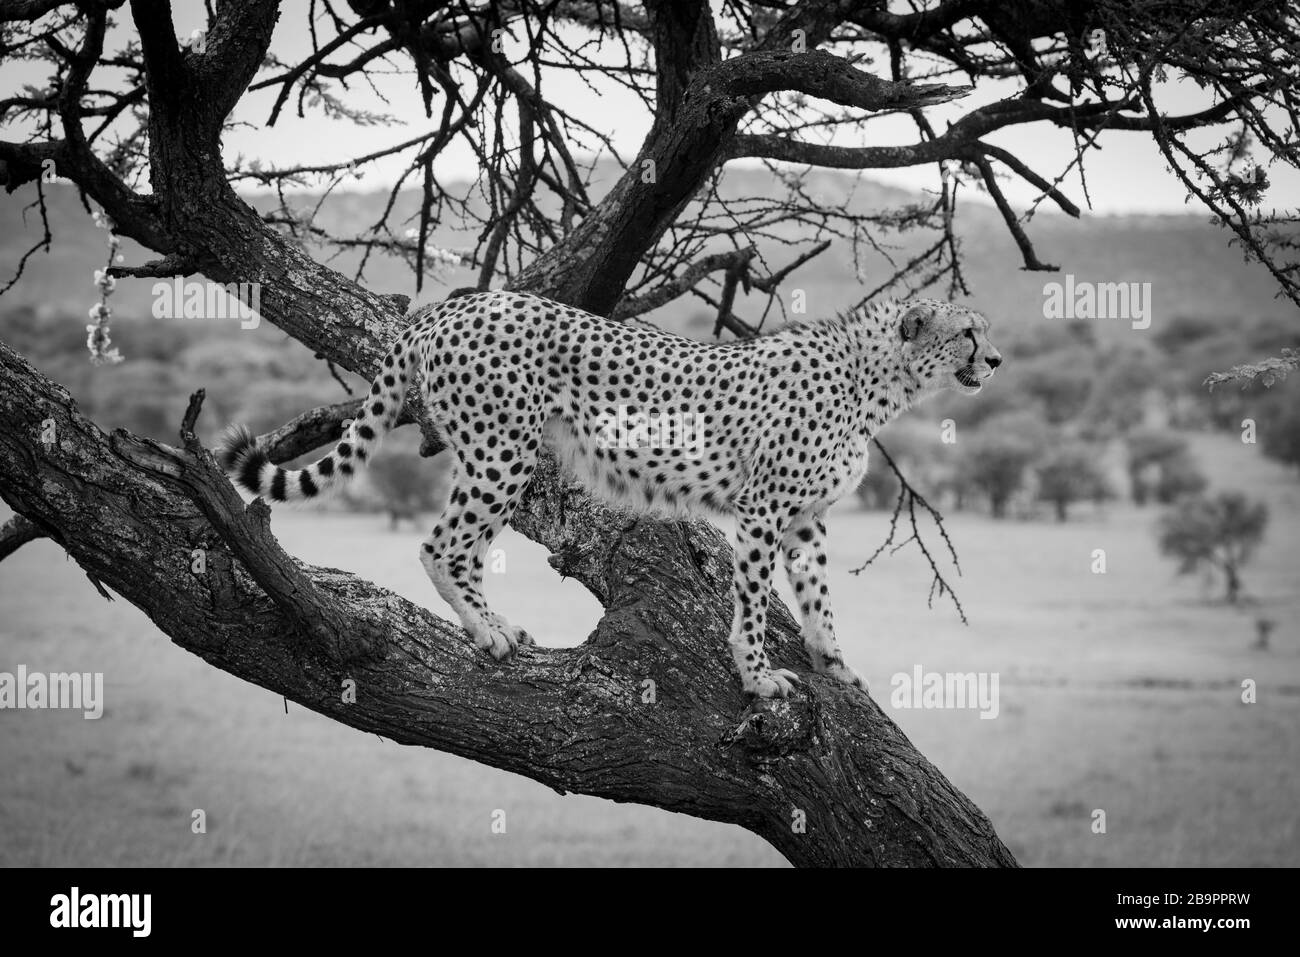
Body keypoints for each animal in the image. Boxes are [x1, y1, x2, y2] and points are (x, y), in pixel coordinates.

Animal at [219, 290, 1001, 699]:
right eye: (968, 332)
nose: (994, 359)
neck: (879, 381)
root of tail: (451, 308)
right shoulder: (762, 510)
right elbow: (752, 603)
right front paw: (756, 676)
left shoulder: (807, 518)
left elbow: (819, 599)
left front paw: (835, 663)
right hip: (503, 452)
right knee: (443, 545)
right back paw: (485, 631)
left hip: (497, 454)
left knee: (460, 546)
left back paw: (497, 624)